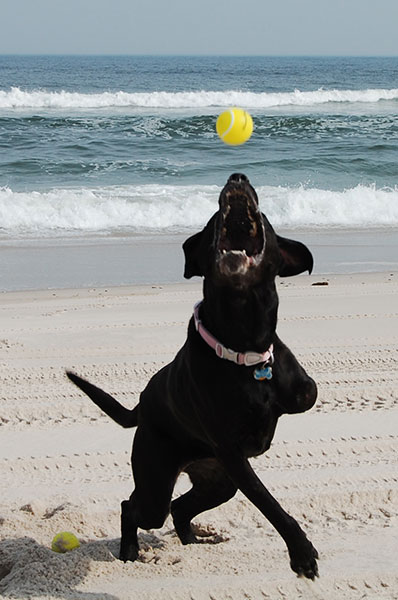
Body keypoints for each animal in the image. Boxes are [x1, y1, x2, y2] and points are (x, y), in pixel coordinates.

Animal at [67, 175, 318, 580]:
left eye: (264, 216)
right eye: (212, 219)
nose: (237, 177)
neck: (241, 340)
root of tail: (141, 407)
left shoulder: (298, 392)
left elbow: (301, 394)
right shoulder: (232, 453)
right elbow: (269, 504)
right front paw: (302, 554)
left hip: (218, 483)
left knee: (180, 508)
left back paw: (194, 541)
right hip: (158, 477)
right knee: (135, 507)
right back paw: (130, 550)